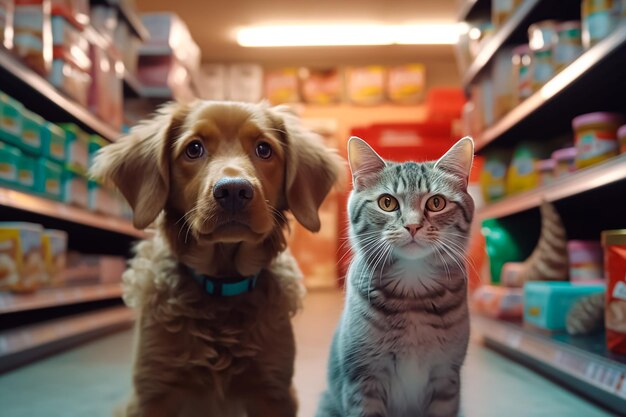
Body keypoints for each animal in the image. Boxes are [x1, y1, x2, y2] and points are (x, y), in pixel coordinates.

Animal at [91, 99, 342, 414]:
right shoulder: (152, 391)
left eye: (264, 149)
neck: (222, 283)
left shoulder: (274, 390)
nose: (234, 190)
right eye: (194, 149)